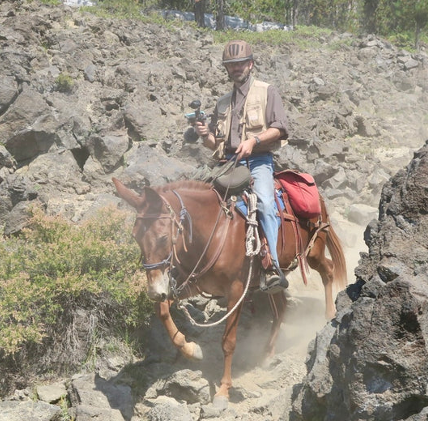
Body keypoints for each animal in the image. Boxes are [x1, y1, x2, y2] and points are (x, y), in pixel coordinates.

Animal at [112, 176, 346, 408]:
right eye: (135, 237)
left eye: (162, 237)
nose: (154, 290)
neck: (213, 233)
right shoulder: (195, 284)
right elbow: (161, 309)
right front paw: (192, 349)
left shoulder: (235, 291)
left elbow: (228, 342)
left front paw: (223, 391)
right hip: (276, 280)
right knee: (281, 307)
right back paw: (268, 353)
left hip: (314, 250)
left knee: (328, 270)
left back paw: (328, 316)